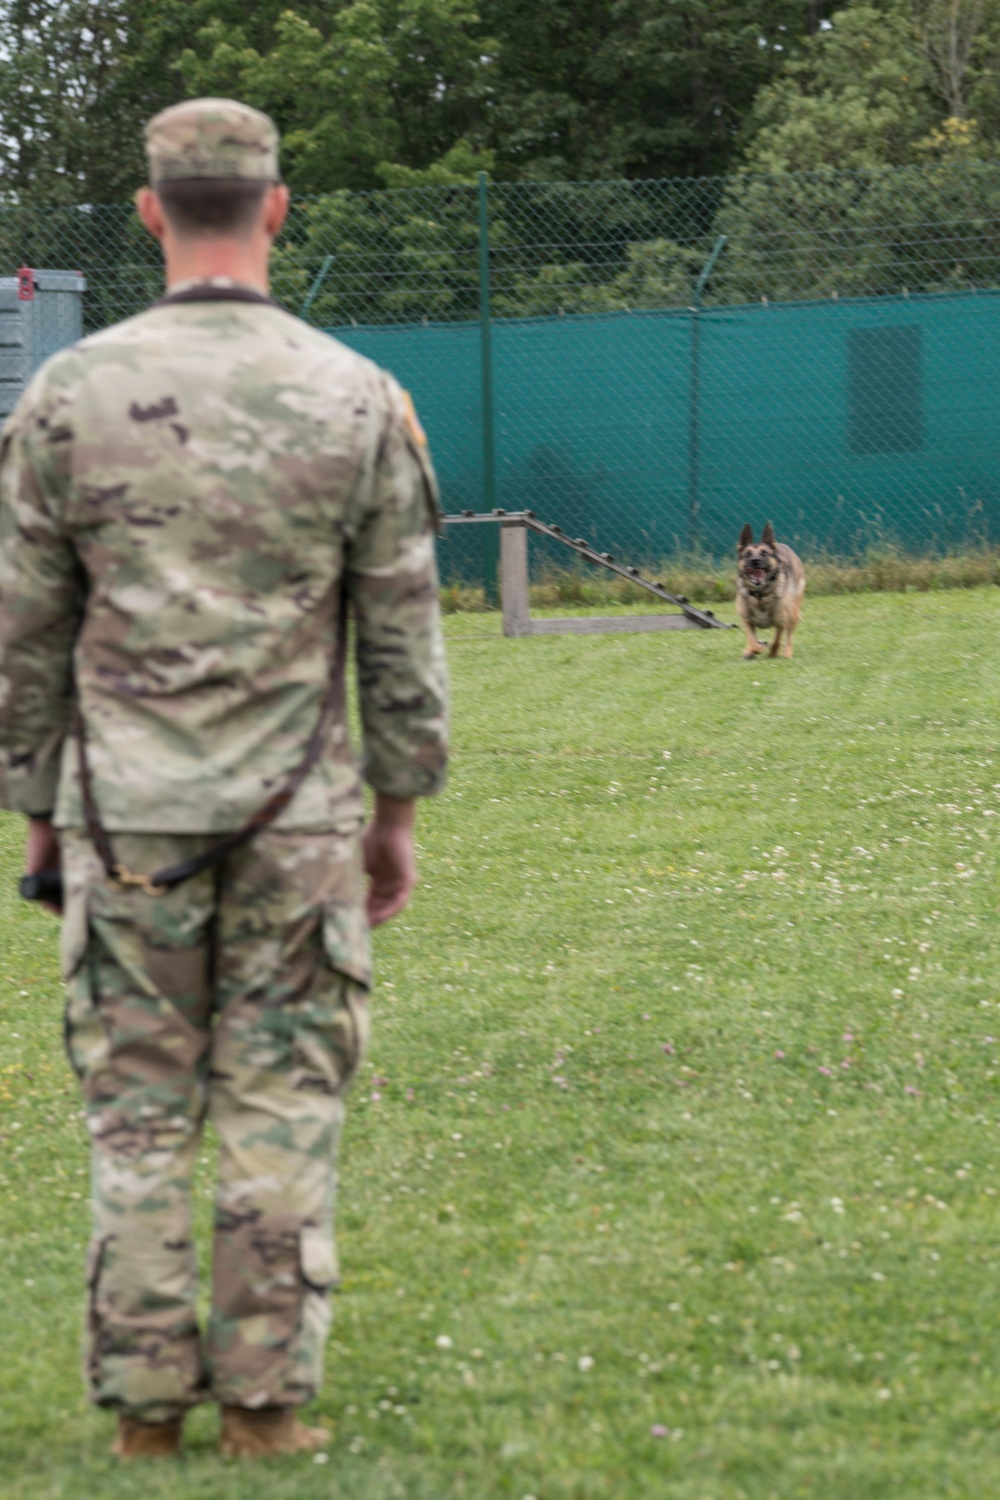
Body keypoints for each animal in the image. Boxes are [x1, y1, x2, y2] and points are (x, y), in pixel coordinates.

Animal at [734, 525, 803, 660]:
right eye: (747, 554)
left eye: (764, 553)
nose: (755, 560)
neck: (760, 596)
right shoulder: (746, 621)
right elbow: (753, 642)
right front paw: (753, 650)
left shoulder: (780, 622)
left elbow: (776, 641)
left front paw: (772, 653)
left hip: (792, 613)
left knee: (789, 637)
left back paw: (787, 653)